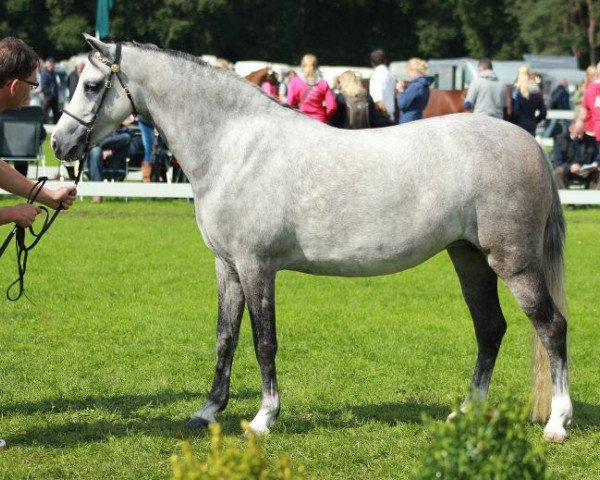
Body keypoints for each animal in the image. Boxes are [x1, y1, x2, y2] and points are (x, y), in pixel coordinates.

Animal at [51, 36, 572, 442]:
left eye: (92, 85)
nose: (59, 144)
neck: (235, 146)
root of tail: (529, 142)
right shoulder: (227, 266)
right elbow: (225, 338)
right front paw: (208, 411)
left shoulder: (256, 265)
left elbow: (264, 341)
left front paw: (264, 418)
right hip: (469, 258)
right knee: (490, 329)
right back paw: (466, 410)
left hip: (514, 262)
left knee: (551, 327)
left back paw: (557, 422)